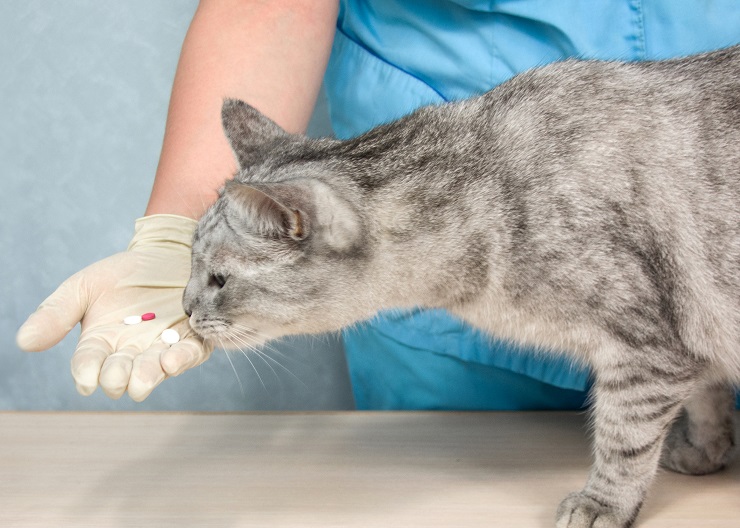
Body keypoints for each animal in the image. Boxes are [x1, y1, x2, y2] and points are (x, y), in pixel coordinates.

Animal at [181, 46, 740, 528]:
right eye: (190, 263)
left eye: (219, 279)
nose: (185, 308)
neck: (488, 186)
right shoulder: (691, 336)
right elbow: (707, 398)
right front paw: (706, 451)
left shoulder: (647, 352)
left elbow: (625, 442)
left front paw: (604, 503)